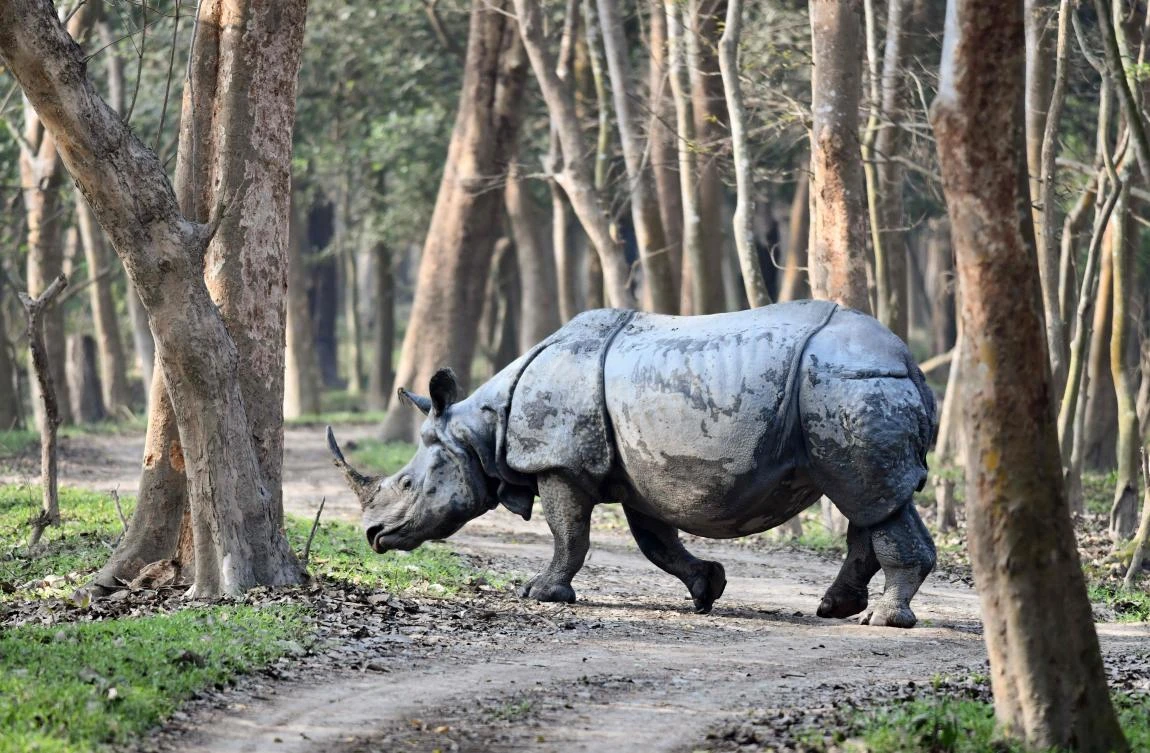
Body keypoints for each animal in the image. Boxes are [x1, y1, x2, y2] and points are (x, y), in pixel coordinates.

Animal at [328, 300, 938, 628]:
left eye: (408, 484)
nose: (372, 535)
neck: (481, 427)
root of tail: (908, 360)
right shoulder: (646, 472)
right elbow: (655, 541)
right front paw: (707, 589)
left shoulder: (559, 464)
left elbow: (569, 532)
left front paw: (540, 594)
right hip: (845, 389)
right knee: (869, 499)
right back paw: (835, 608)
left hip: (846, 386)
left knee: (868, 496)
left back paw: (880, 621)